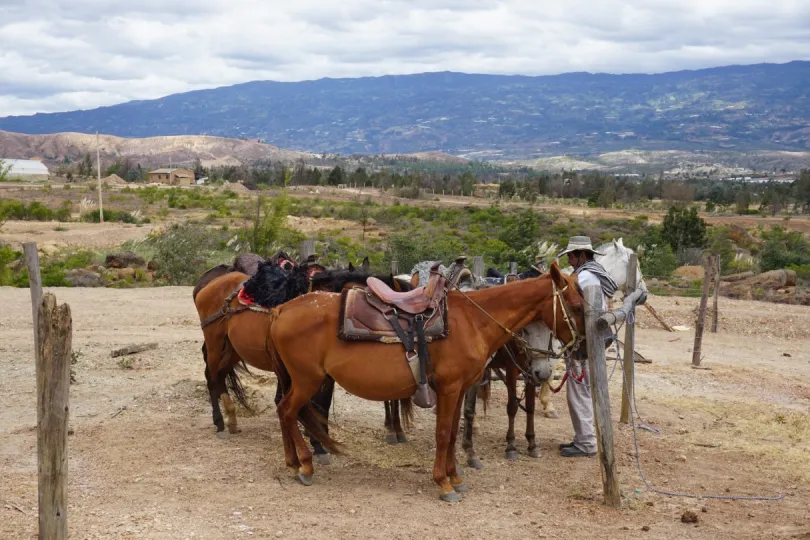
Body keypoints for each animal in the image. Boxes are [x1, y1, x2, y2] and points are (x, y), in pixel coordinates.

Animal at [266, 262, 588, 502]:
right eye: (576, 306)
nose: (584, 349)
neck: (473, 320)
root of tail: (282, 309)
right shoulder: (449, 389)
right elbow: (443, 433)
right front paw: (443, 483)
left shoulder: (459, 390)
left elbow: (455, 434)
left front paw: (456, 477)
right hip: (307, 380)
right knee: (288, 411)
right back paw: (305, 464)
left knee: (284, 410)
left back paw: (293, 462)